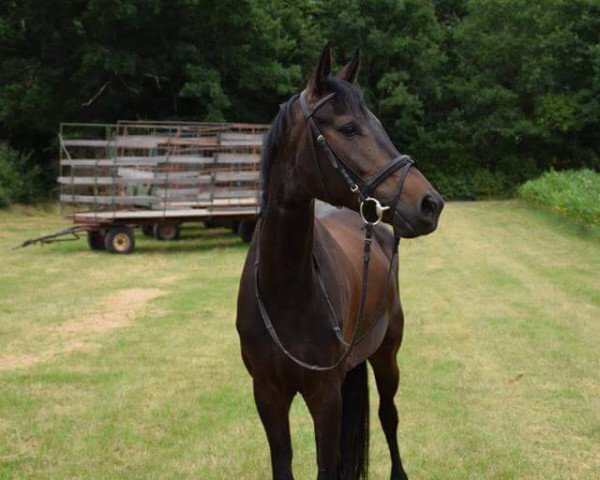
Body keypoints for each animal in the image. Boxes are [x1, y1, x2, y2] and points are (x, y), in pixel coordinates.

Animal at [237, 46, 442, 480]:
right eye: (348, 128)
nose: (430, 204)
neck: (287, 289)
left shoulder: (325, 396)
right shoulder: (267, 394)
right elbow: (283, 462)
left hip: (387, 354)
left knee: (388, 416)